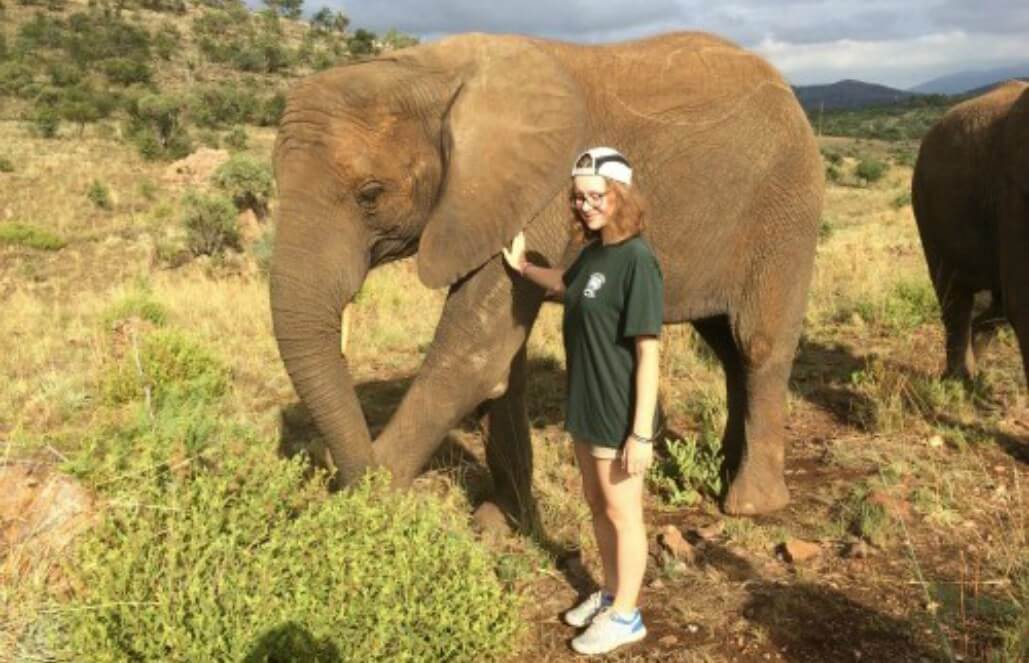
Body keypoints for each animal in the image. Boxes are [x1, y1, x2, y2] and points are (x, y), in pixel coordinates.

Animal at [269, 31, 823, 525]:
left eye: (371, 193)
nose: (330, 465)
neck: (428, 71)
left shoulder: (537, 193)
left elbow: (473, 352)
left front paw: (368, 502)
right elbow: (500, 363)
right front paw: (500, 523)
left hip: (786, 211)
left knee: (757, 345)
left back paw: (750, 503)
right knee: (727, 347)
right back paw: (724, 471)